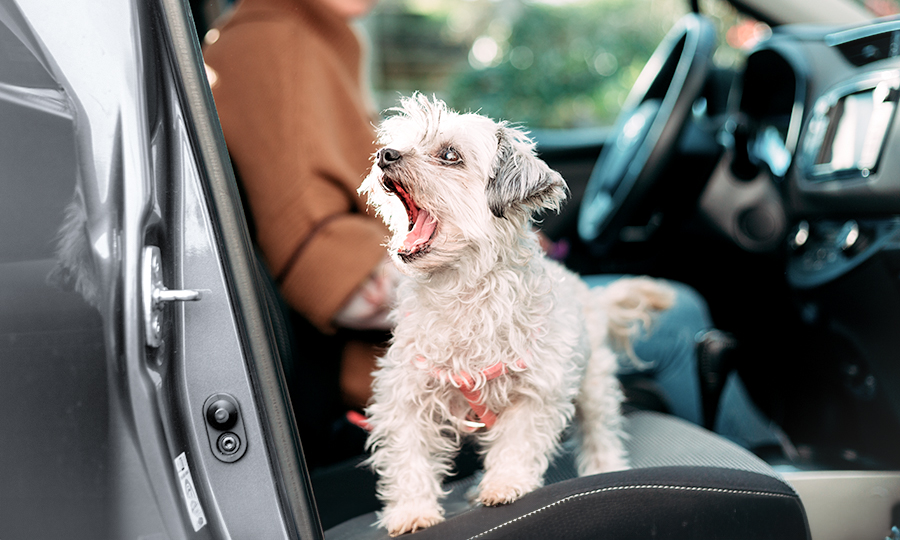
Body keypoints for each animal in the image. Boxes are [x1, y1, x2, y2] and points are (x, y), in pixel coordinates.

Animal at [356, 94, 672, 536]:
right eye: (400, 141)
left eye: (449, 155)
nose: (385, 154)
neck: (461, 292)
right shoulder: (406, 394)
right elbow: (409, 455)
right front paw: (412, 510)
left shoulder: (536, 391)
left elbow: (518, 443)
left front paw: (505, 483)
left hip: (594, 384)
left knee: (600, 433)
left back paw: (604, 469)